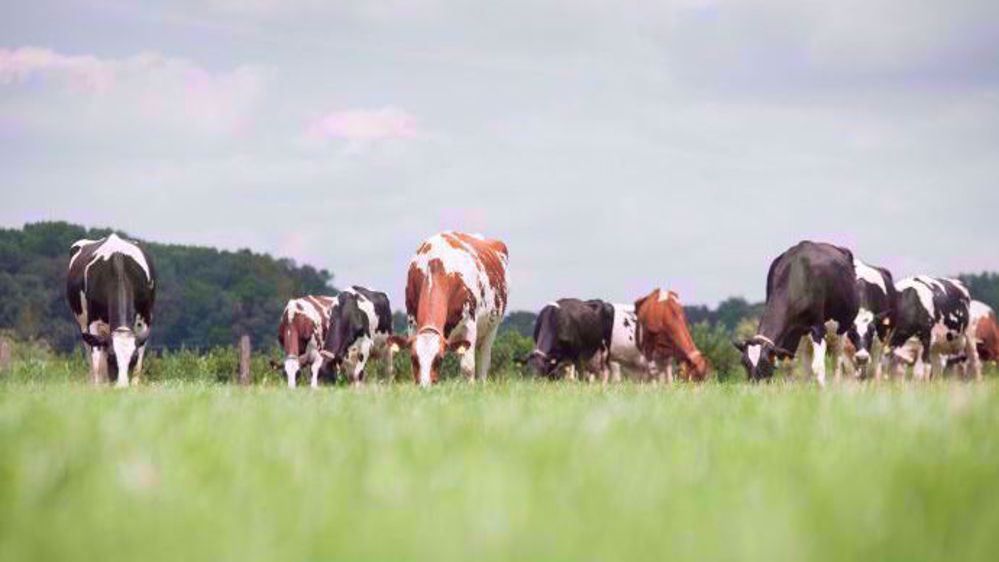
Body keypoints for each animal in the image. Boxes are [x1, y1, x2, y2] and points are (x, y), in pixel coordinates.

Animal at [66, 233, 156, 387]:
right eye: (111, 358)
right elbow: (97, 365)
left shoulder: (144, 323)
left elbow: (138, 368)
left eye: (133, 359)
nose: (122, 386)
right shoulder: (93, 323)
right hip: (84, 326)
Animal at [390, 232, 509, 386]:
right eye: (414, 358)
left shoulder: (469, 324)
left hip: (492, 329)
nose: (425, 386)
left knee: (484, 361)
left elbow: (468, 367)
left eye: (439, 359)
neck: (436, 264)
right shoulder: (412, 322)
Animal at [734, 241, 859, 386]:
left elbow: (818, 367)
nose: (755, 385)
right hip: (804, 335)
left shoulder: (818, 328)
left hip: (841, 328)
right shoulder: (791, 336)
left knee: (837, 362)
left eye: (765, 363)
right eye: (744, 363)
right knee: (807, 365)